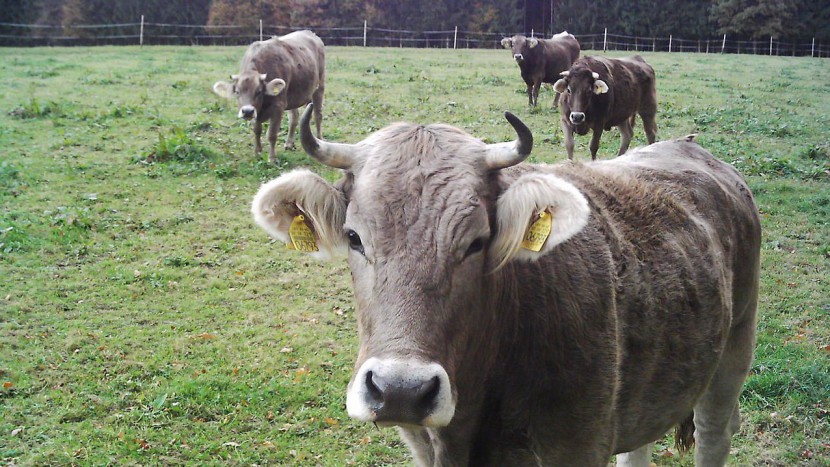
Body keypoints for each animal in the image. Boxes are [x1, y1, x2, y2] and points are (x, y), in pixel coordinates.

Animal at [212, 30, 325, 164]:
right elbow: (257, 130)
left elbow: (271, 134)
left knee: (317, 115)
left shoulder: (278, 107)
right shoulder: (257, 112)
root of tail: (310, 33)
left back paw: (319, 141)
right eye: (237, 92)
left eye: (259, 91)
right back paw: (289, 143)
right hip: (293, 97)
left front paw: (272, 159)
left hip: (319, 87)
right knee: (294, 118)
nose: (247, 111)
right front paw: (257, 153)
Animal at [251, 104, 761, 466]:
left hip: (733, 354)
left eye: (477, 242)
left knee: (714, 433)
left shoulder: (578, 444)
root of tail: (692, 149)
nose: (401, 389)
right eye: (355, 237)